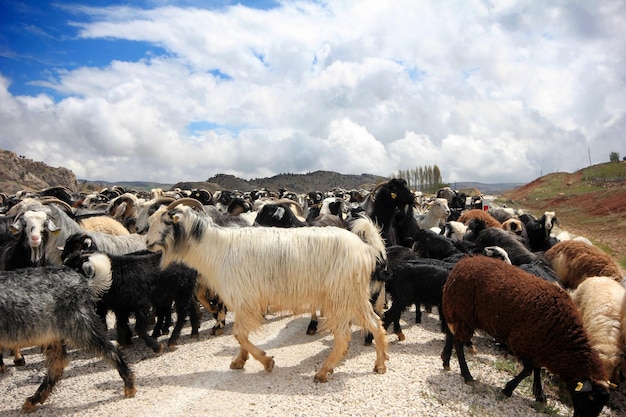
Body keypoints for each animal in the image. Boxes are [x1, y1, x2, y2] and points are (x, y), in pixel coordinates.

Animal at [147, 197, 390, 380]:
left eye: (166, 221)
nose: (148, 243)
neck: (217, 247)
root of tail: (366, 248)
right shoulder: (243, 301)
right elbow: (241, 335)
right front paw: (239, 361)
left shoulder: (245, 299)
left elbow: (239, 334)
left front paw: (266, 361)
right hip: (354, 296)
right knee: (376, 323)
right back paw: (380, 365)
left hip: (339, 297)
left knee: (343, 336)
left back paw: (323, 371)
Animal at [438, 255, 608, 414]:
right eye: (591, 397)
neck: (564, 338)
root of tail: (462, 263)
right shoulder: (521, 341)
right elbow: (528, 370)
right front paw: (508, 389)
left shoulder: (539, 346)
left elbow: (536, 369)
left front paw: (540, 395)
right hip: (464, 312)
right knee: (458, 343)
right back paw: (467, 376)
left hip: (457, 311)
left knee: (451, 334)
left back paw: (446, 360)